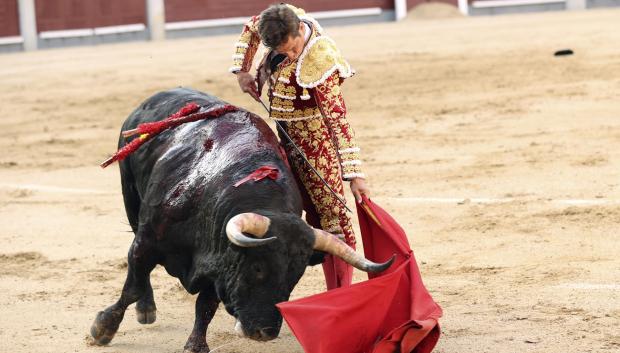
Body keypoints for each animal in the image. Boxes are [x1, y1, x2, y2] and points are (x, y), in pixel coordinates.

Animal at [89, 86, 392, 350]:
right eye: (257, 268)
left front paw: (196, 346)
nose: (264, 332)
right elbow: (133, 286)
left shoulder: (220, 262)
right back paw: (146, 309)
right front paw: (103, 329)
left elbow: (206, 306)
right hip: (130, 197)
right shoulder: (147, 242)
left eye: (295, 275)